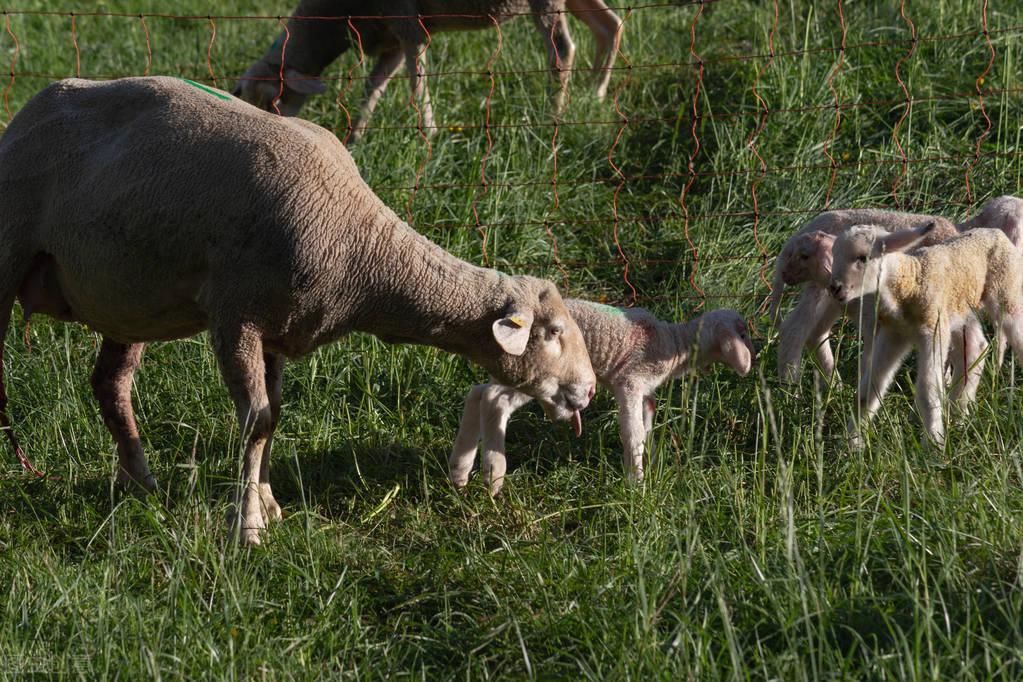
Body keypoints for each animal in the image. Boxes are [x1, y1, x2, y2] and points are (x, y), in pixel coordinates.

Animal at [0, 76, 597, 543]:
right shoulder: (236, 315)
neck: (365, 255)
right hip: (12, 249)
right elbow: (257, 421)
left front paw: (267, 504)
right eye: (552, 332)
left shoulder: (278, 327)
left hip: (128, 296)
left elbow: (275, 416)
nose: (588, 391)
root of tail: (34, 104)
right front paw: (247, 528)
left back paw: (139, 484)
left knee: (111, 383)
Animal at [234, 0, 621, 141]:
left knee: (563, 50)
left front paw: (428, 135)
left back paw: (553, 114)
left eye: (270, 102)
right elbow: (373, 87)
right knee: (610, 26)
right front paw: (355, 135)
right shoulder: (390, 37)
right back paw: (595, 94)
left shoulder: (409, 25)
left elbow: (415, 82)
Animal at [452, 300, 757, 492]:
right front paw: (636, 484)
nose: (754, 358)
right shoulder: (631, 381)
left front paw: (649, 464)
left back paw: (459, 470)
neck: (674, 343)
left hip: (513, 370)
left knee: (478, 393)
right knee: (495, 398)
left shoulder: (643, 393)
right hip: (539, 376)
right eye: (742, 334)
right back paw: (493, 475)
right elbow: (633, 432)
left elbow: (645, 426)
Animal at [826, 223, 1023, 447]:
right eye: (834, 254)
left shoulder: (932, 330)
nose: (834, 288)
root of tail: (994, 231)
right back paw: (959, 415)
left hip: (1006, 293)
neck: (911, 282)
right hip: (960, 308)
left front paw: (934, 445)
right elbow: (867, 391)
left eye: (863, 258)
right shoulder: (893, 334)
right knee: (976, 348)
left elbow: (929, 393)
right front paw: (852, 444)